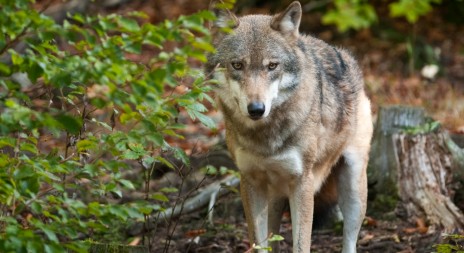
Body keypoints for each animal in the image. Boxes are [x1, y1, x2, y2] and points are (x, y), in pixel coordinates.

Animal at [207, 1, 374, 251]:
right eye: (237, 65)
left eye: (272, 66)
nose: (256, 109)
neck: (265, 138)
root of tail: (343, 53)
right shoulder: (250, 182)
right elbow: (259, 243)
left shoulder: (302, 184)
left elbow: (301, 243)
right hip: (275, 195)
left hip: (353, 189)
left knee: (350, 239)